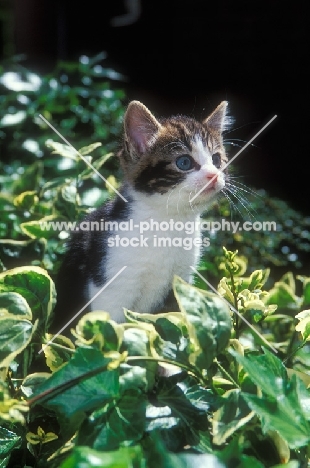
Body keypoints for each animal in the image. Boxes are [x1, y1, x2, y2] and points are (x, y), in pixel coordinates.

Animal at [52, 100, 229, 330]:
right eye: (184, 162)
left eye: (216, 160)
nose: (215, 175)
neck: (168, 222)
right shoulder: (112, 285)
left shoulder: (181, 279)